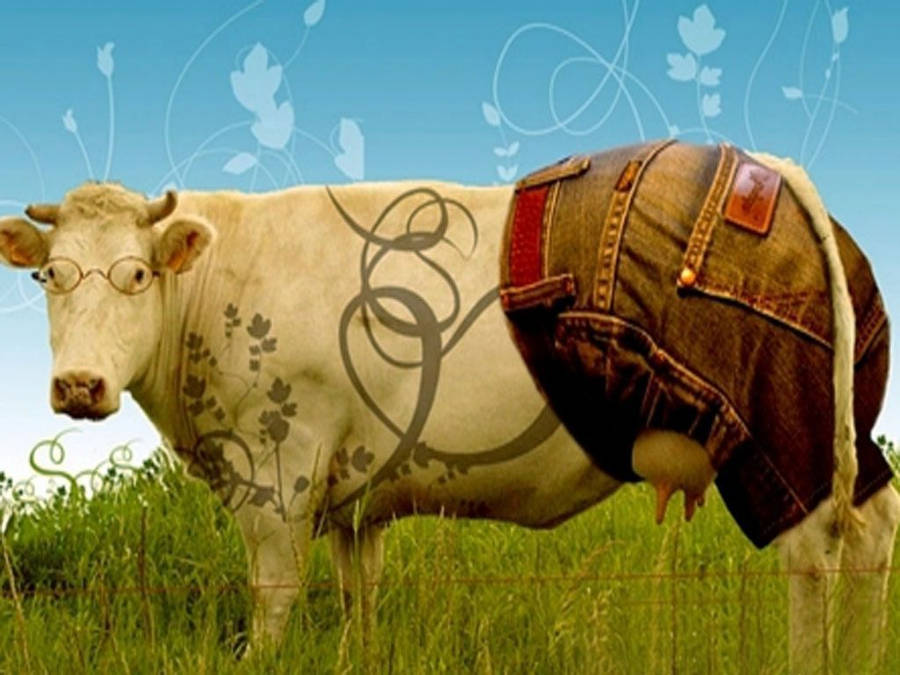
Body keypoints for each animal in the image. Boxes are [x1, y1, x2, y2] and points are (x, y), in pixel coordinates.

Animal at [0, 140, 896, 673]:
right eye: (48, 276)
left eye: (136, 275)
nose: (78, 385)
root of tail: (763, 164)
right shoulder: (353, 495)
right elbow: (357, 591)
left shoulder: (279, 467)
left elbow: (274, 589)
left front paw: (256, 658)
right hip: (836, 433)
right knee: (870, 534)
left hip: (776, 430)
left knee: (811, 556)